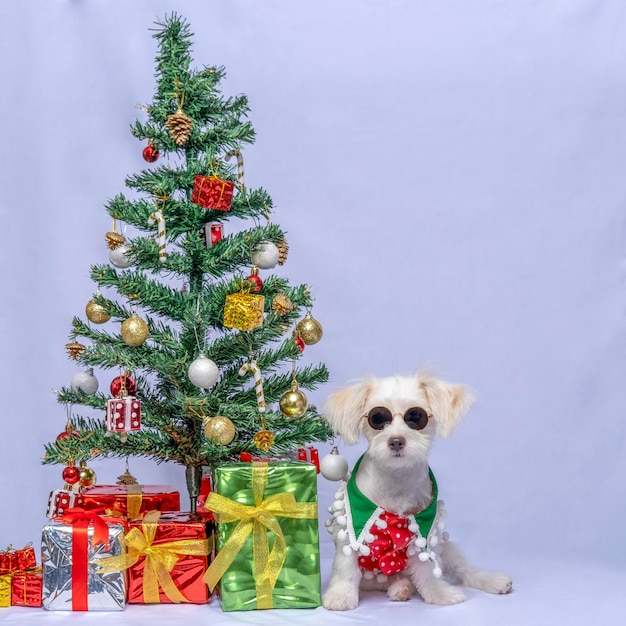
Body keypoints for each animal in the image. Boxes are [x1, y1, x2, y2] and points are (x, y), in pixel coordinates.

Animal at [322, 370, 512, 608]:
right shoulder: (351, 531)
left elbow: (428, 570)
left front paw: (439, 593)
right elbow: (346, 567)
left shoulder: (424, 532)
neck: (396, 480)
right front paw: (341, 596)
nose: (396, 441)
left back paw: (493, 580)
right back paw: (400, 588)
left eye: (415, 416)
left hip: (448, 550)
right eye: (377, 418)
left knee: (465, 571)